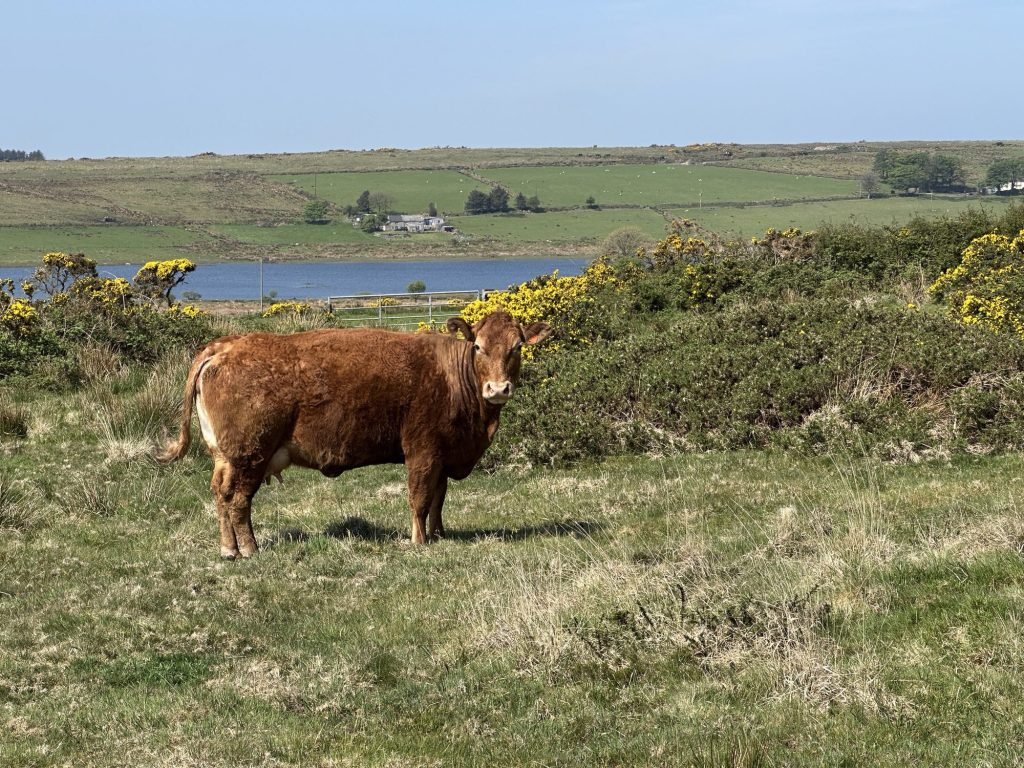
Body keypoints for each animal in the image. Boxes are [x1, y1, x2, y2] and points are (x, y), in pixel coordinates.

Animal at [158, 311, 551, 558]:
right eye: (478, 346)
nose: (498, 388)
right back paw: (248, 548)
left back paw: (229, 548)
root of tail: (226, 345)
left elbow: (439, 499)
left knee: (221, 495)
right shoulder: (422, 451)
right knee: (237, 500)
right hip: (249, 455)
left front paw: (439, 534)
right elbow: (420, 499)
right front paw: (418, 541)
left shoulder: (442, 455)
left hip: (226, 457)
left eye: (517, 347)